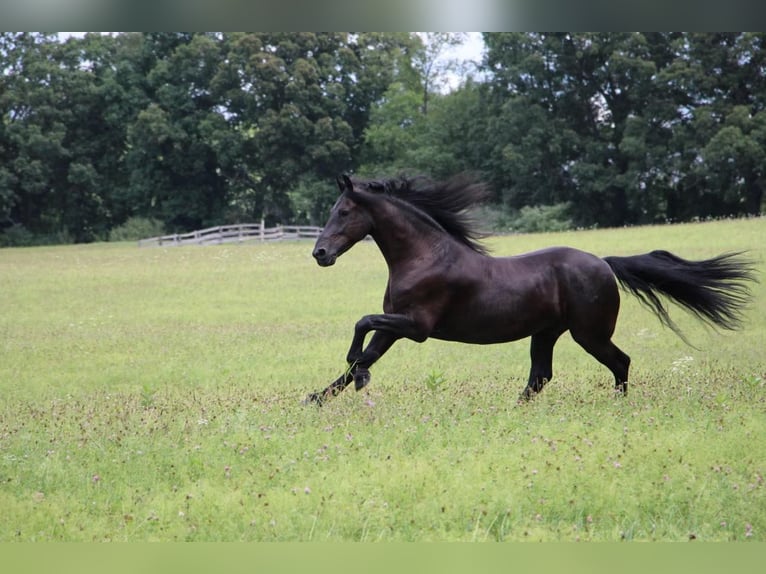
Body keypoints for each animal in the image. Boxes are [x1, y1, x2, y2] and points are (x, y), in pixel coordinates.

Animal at [306, 176, 756, 404]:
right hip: (547, 333)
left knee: (620, 362)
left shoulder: (415, 326)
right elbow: (364, 353)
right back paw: (515, 409)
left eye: (343, 211)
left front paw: (354, 378)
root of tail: (603, 262)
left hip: (589, 333)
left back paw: (618, 407)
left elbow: (361, 327)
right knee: (541, 376)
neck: (424, 256)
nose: (320, 253)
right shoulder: (395, 326)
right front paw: (318, 396)